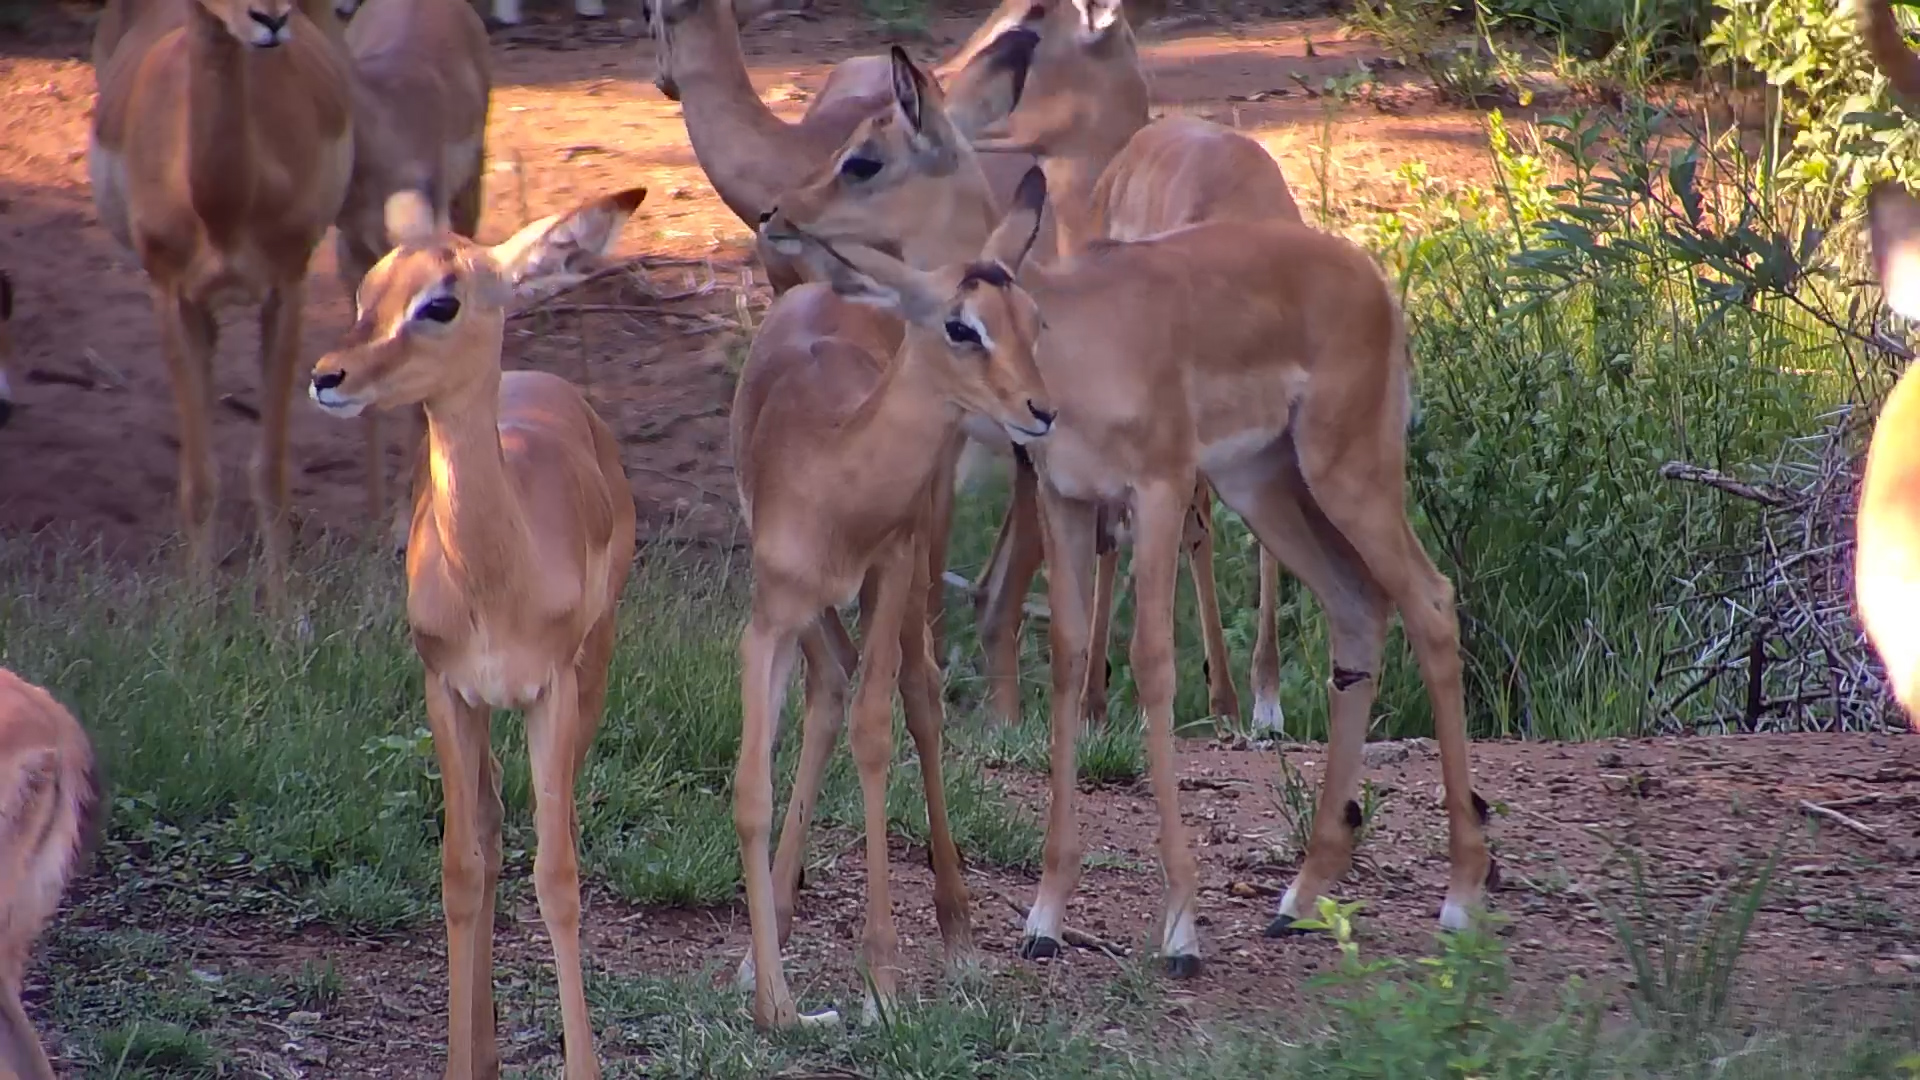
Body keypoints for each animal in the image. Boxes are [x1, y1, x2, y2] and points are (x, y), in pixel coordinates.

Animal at [89, 0, 356, 609]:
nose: (270, 19)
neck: (223, 208)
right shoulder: (171, 296)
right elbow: (199, 478)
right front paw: (195, 619)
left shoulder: (287, 289)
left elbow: (272, 472)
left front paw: (282, 618)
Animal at [308, 187, 645, 1080]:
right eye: (370, 290)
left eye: (442, 301)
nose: (327, 376)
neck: (497, 580)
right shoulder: (448, 690)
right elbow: (461, 868)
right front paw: (464, 1056)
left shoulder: (550, 692)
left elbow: (558, 875)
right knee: (490, 829)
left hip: (593, 671)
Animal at [735, 167, 1053, 1029]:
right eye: (961, 327)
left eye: (1033, 320)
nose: (1040, 410)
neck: (832, 472)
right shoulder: (771, 615)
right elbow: (752, 786)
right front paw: (772, 997)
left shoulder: (891, 572)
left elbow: (878, 735)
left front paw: (880, 978)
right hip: (820, 614)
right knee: (831, 687)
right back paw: (773, 930)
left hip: (918, 570)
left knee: (919, 696)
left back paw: (960, 939)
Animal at [763, 60, 1494, 977]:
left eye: (864, 157)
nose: (779, 215)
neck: (1070, 336)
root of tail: (1375, 281)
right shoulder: (1068, 498)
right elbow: (1071, 659)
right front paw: (1044, 916)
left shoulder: (1157, 488)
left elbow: (1151, 661)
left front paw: (1180, 929)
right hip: (1265, 485)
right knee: (1358, 610)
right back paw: (1298, 898)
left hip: (1349, 470)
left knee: (1430, 601)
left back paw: (1461, 897)